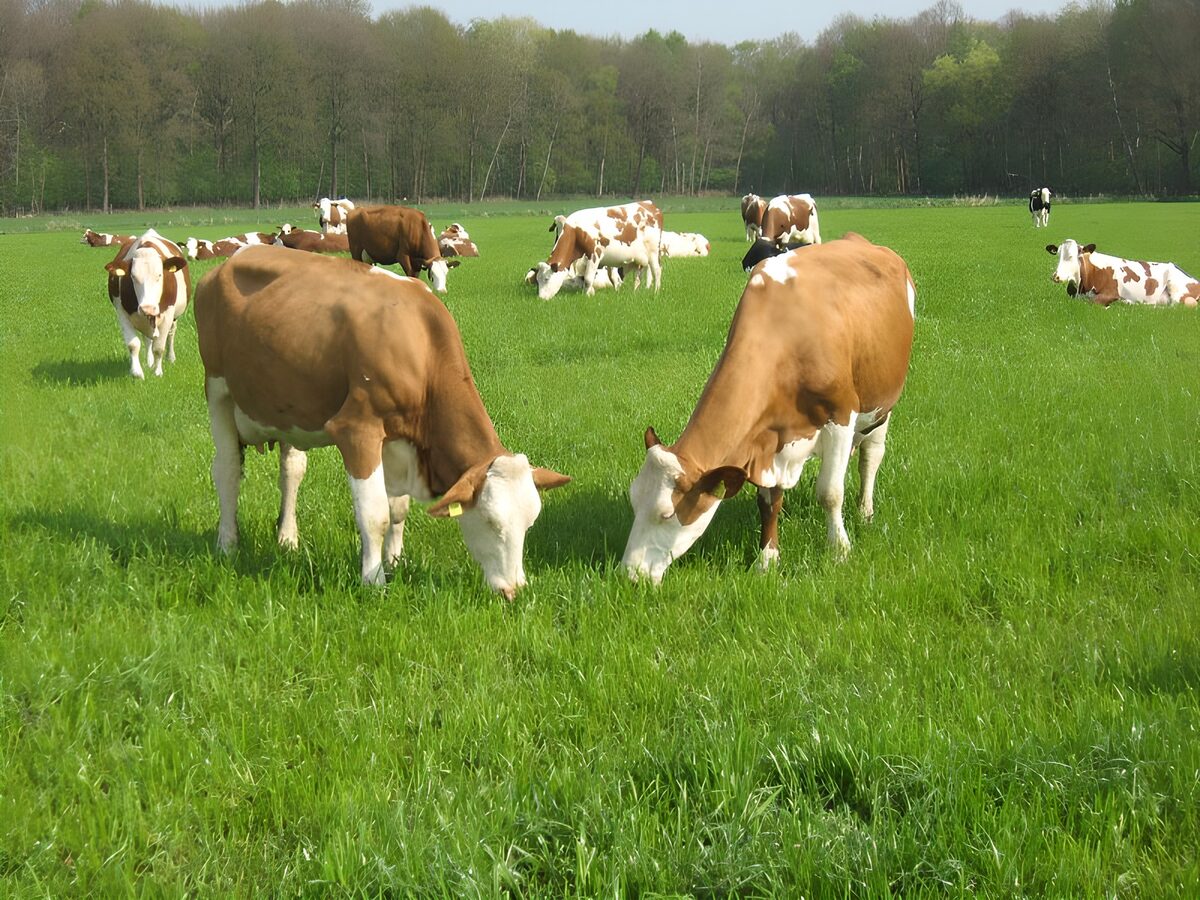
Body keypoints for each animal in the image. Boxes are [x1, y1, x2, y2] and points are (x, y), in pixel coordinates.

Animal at [103, 229, 191, 379]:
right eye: (133, 276)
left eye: (160, 275)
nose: (147, 308)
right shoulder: (122, 313)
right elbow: (133, 344)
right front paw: (137, 372)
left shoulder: (168, 314)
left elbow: (159, 347)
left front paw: (158, 372)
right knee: (147, 339)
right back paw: (149, 362)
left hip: (173, 317)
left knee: (171, 334)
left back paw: (170, 357)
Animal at [194, 246, 570, 594]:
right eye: (491, 522)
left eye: (530, 522)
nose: (514, 590)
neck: (421, 343)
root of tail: (229, 262)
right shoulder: (357, 430)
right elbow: (375, 514)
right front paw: (373, 580)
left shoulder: (398, 439)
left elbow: (398, 508)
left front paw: (394, 560)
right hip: (218, 391)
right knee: (227, 471)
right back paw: (227, 544)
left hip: (285, 405)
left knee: (291, 471)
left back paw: (287, 539)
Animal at [622, 233, 915, 584]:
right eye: (633, 500)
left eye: (666, 514)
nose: (629, 574)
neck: (788, 339)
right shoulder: (764, 439)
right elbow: (767, 501)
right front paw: (767, 559)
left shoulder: (841, 416)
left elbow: (830, 492)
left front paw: (840, 551)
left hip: (881, 405)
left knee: (871, 456)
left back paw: (865, 511)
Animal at [1046, 240, 1200, 307]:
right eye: (1058, 254)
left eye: (1072, 256)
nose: (1056, 276)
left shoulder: (1111, 293)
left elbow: (1093, 302)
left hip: (1176, 289)